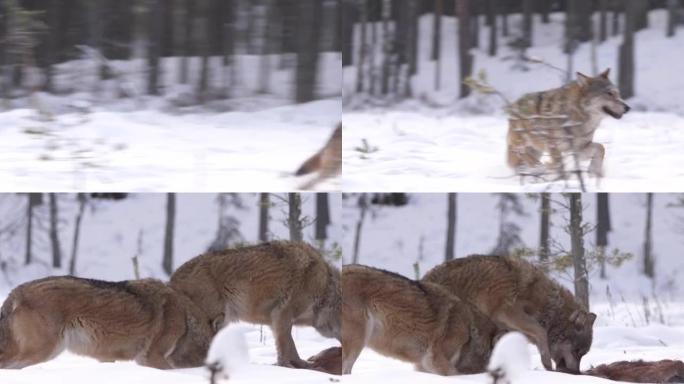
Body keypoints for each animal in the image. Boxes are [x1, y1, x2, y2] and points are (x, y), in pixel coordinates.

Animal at [170, 240, 340, 368]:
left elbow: (287, 345)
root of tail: (173, 277)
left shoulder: (276, 321)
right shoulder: (283, 314)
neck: (325, 287)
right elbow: (287, 345)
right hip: (211, 322)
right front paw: (292, 365)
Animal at [424, 256, 596, 374]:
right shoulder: (508, 311)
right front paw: (547, 366)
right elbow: (541, 332)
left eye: (582, 354)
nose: (577, 373)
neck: (550, 307)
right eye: (577, 352)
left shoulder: (504, 329)